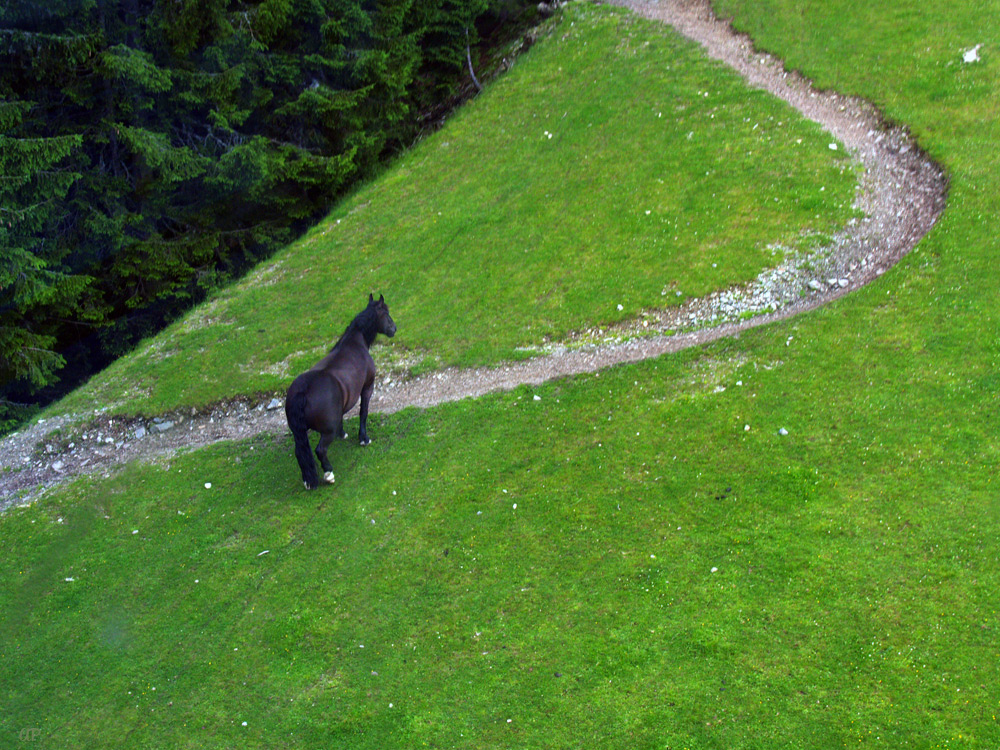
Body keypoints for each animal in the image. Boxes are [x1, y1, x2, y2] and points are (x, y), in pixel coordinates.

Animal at [284, 290, 396, 490]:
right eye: (386, 312)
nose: (394, 328)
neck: (354, 343)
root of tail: (302, 391)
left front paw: (342, 433)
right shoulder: (367, 387)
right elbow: (363, 412)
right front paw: (363, 438)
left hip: (298, 433)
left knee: (300, 452)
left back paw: (308, 480)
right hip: (325, 433)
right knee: (320, 450)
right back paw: (328, 473)